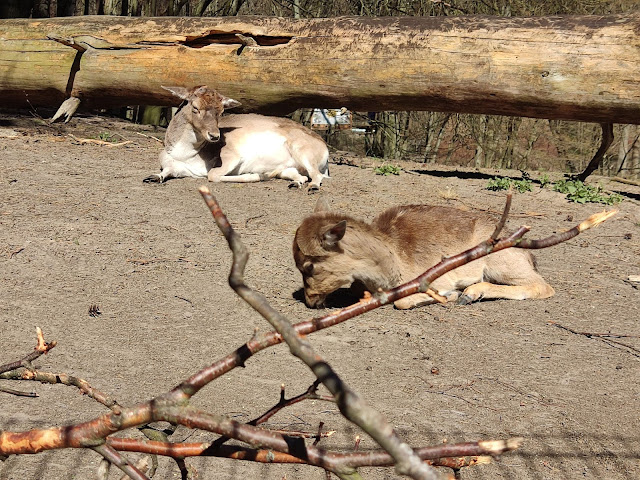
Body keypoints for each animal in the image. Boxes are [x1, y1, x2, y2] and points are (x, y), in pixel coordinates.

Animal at [143, 86, 330, 190]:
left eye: (221, 111)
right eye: (195, 107)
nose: (215, 136)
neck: (185, 155)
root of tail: (324, 148)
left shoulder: (232, 156)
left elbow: (212, 174)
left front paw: (257, 175)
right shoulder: (177, 167)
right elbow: (165, 171)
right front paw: (152, 177)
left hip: (302, 151)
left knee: (317, 176)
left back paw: (312, 186)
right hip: (289, 168)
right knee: (301, 176)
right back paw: (294, 184)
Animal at [293, 199, 555, 309]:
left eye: (309, 266)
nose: (311, 301)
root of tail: (529, 255)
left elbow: (402, 302)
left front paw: (450, 294)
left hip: (503, 262)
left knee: (543, 286)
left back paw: (470, 294)